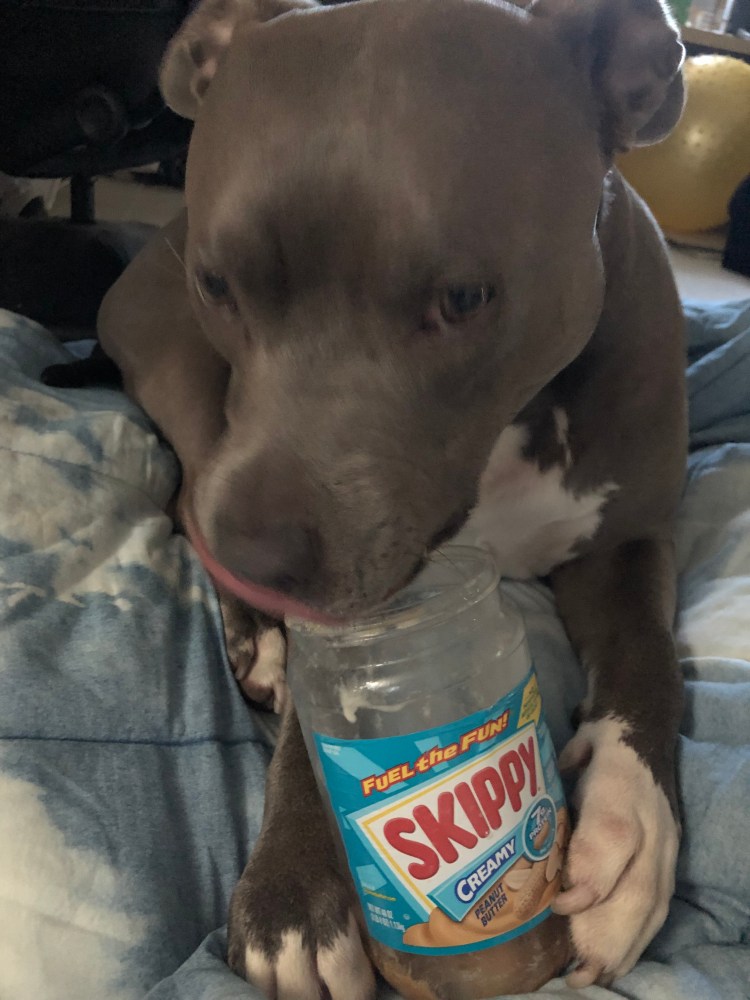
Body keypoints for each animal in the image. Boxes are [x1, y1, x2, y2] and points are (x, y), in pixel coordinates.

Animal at [71, 0, 689, 995]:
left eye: (465, 297)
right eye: (217, 282)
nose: (260, 559)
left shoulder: (627, 537)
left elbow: (648, 651)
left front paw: (629, 819)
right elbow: (313, 722)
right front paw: (292, 885)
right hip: (186, 381)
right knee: (184, 497)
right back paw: (257, 638)